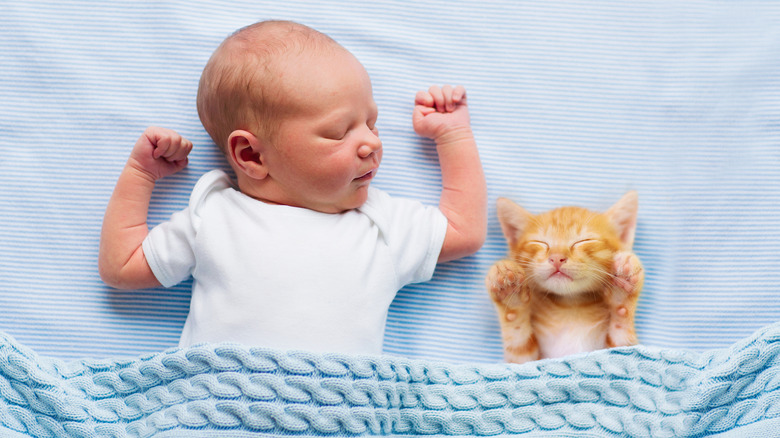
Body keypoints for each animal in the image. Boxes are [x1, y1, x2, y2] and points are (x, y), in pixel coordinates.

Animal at [484, 192, 644, 362]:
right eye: (540, 242)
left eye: (584, 240)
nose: (556, 258)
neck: (570, 305)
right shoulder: (524, 361)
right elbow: (519, 347)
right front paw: (511, 296)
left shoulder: (618, 352)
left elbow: (623, 344)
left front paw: (622, 292)